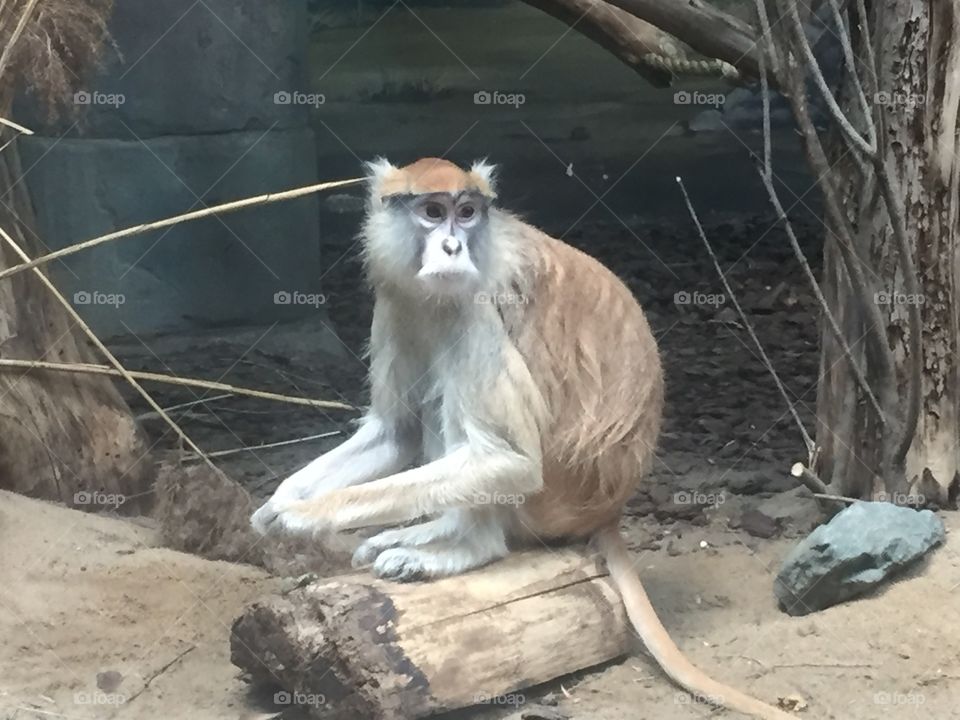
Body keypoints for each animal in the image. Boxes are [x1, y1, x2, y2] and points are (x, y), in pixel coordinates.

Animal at [251, 158, 797, 720]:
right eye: (433, 212)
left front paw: (304, 514)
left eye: (468, 212)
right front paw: (278, 503)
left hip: (553, 499)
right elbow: (395, 432)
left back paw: (464, 545)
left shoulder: (473, 303)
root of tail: (609, 508)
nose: (453, 247)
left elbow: (508, 462)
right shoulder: (399, 297)